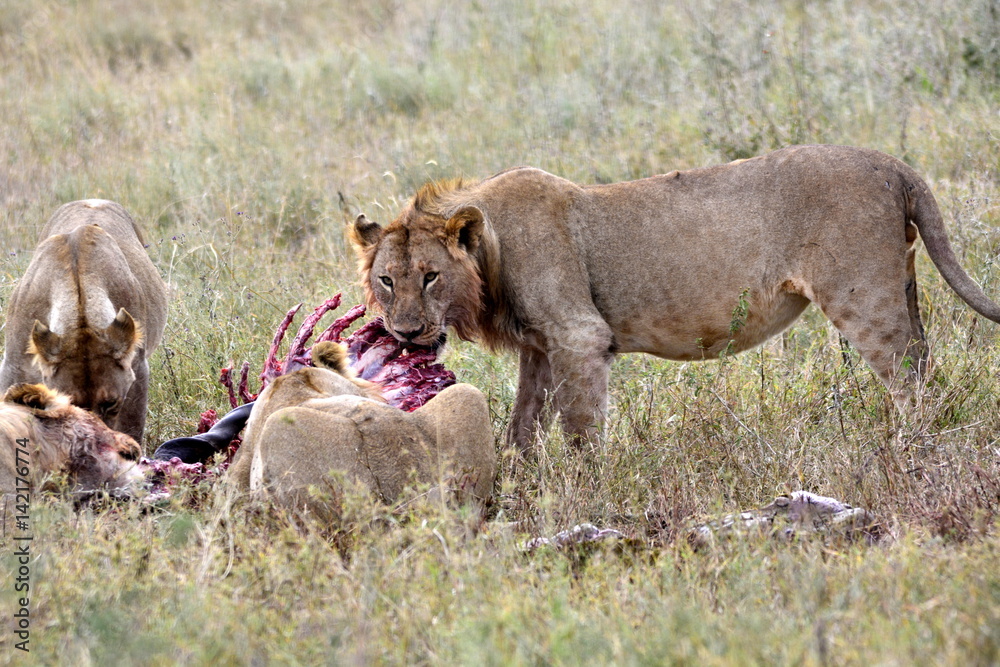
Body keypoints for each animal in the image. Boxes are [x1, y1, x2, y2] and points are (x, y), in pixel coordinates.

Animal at [0, 200, 168, 443]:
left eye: (110, 404)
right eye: (72, 405)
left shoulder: (137, 369)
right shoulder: (13, 369)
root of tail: (92, 200)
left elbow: (132, 428)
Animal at [349, 144, 1000, 451]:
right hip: (904, 285)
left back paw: (912, 448)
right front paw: (518, 483)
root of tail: (892, 164)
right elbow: (523, 425)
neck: (493, 246)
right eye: (387, 280)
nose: (405, 332)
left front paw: (587, 493)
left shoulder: (579, 336)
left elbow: (580, 428)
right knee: (925, 363)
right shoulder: (540, 348)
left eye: (431, 276)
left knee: (910, 377)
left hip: (863, 297)